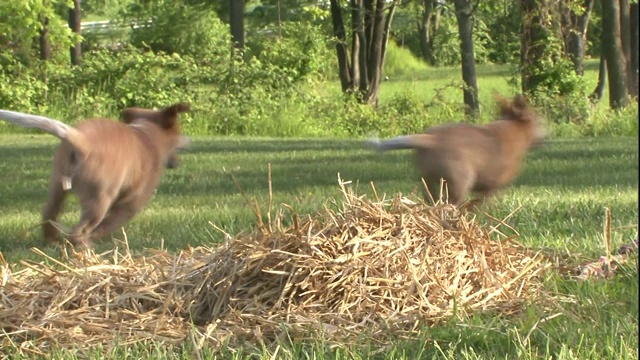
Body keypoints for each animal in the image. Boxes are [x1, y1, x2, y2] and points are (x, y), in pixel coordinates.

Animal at [0, 102, 190, 246]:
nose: (179, 162)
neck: (147, 135)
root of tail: (81, 141)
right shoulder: (130, 204)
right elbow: (108, 225)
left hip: (57, 187)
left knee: (49, 214)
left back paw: (52, 242)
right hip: (99, 200)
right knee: (80, 229)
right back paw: (83, 246)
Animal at [368, 94, 548, 207]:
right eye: (539, 122)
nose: (547, 135)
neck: (515, 127)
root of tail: (432, 139)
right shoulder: (493, 185)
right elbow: (483, 200)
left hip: (428, 180)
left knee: (431, 199)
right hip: (459, 182)